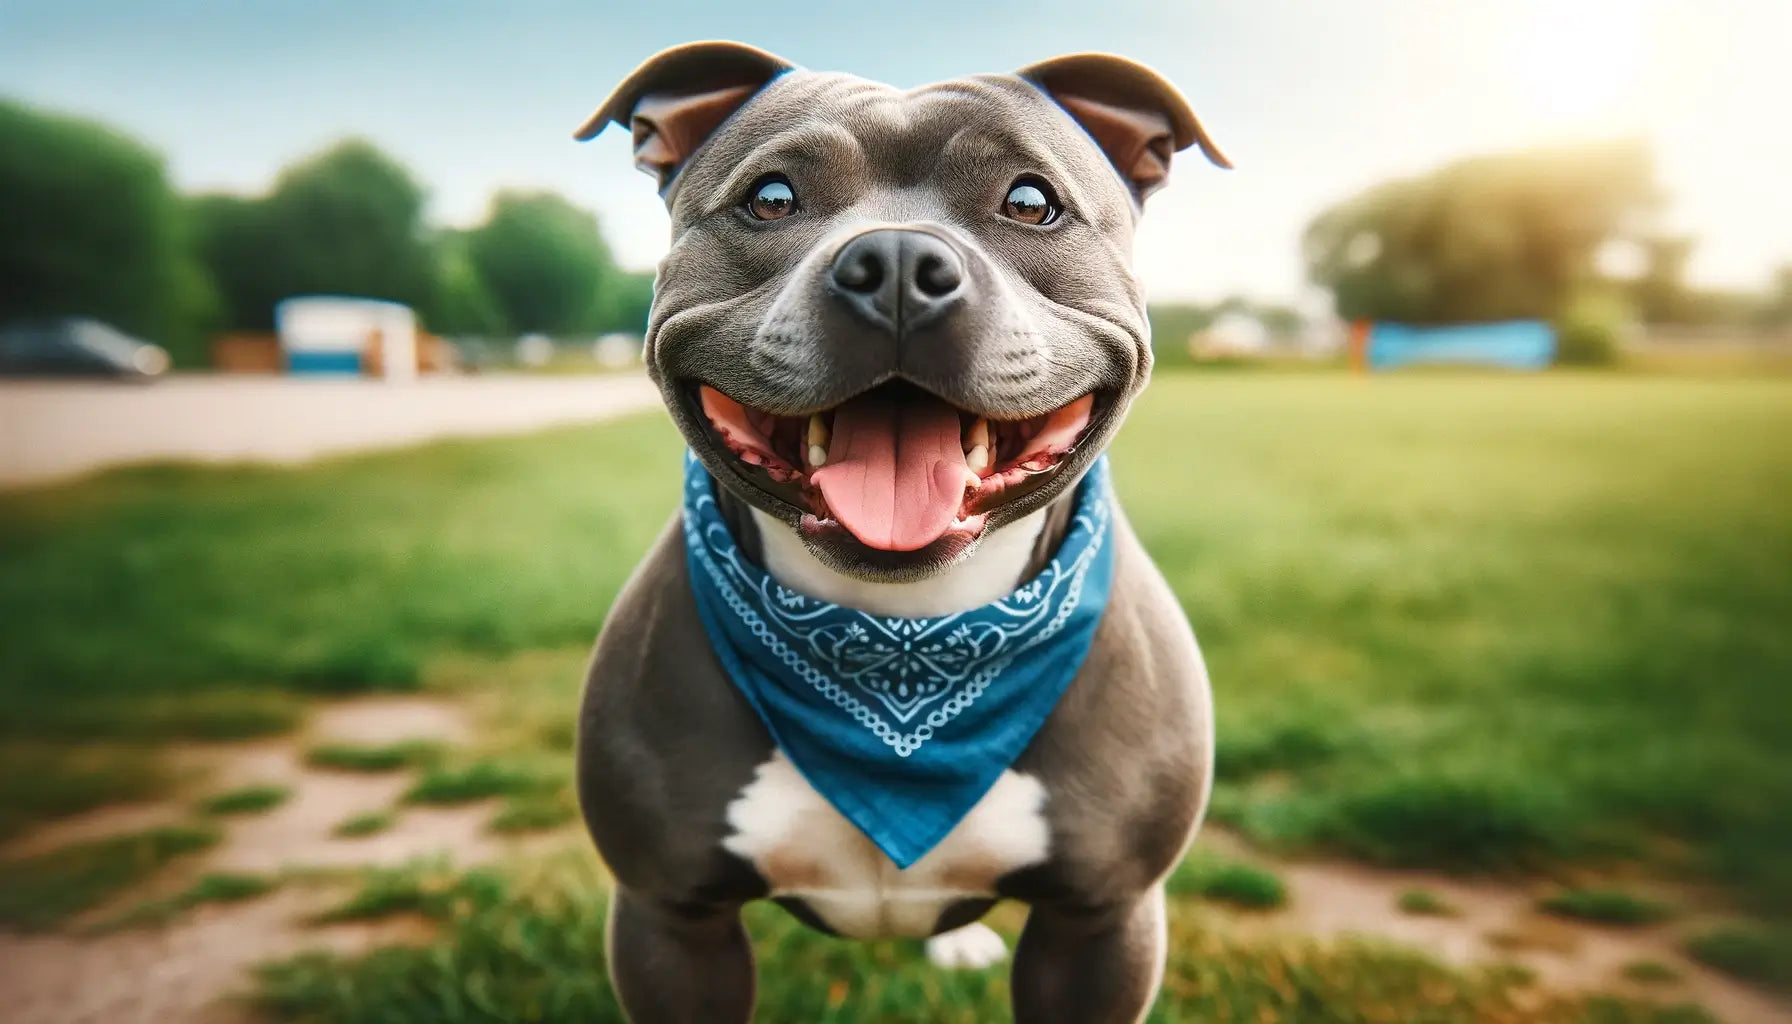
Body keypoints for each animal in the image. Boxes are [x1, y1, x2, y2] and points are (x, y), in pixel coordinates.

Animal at [573, 42, 1232, 1024]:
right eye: (772, 197)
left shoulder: (1101, 925)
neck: (904, 643)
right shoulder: (671, 925)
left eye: (1030, 201)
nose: (892, 260)